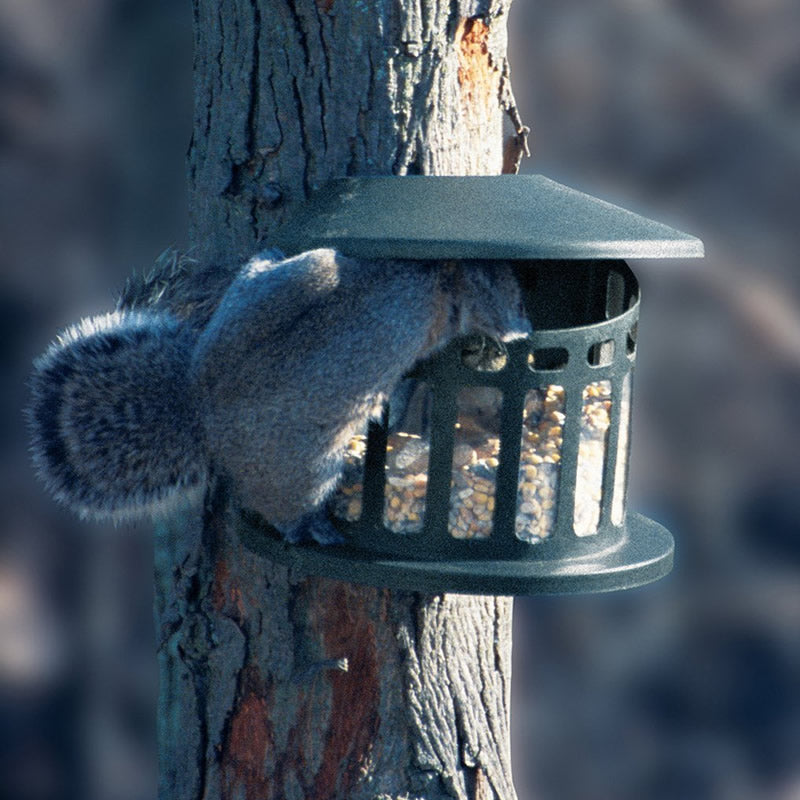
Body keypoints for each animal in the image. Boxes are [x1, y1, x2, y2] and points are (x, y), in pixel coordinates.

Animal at [28, 250, 532, 544]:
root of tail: (201, 415)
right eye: (514, 296)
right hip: (301, 470)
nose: (525, 326)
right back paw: (312, 527)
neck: (434, 277)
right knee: (284, 508)